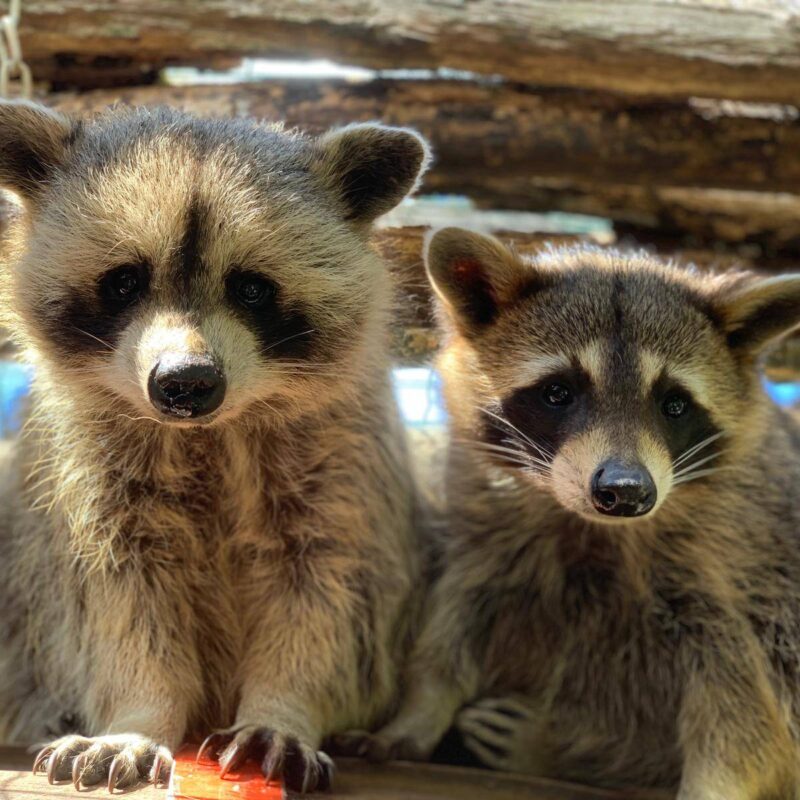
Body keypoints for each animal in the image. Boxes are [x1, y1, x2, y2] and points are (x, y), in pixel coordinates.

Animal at [0, 101, 432, 792]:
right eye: (124, 281)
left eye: (252, 288)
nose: (185, 383)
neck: (207, 433)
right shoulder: (89, 486)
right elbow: (118, 605)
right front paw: (140, 714)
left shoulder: (345, 467)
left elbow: (330, 601)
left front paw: (283, 708)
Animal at [340, 228, 800, 796]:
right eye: (557, 392)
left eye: (674, 405)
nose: (626, 490)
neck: (591, 526)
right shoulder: (488, 529)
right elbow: (457, 617)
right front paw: (420, 711)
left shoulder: (733, 572)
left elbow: (744, 703)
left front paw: (713, 782)